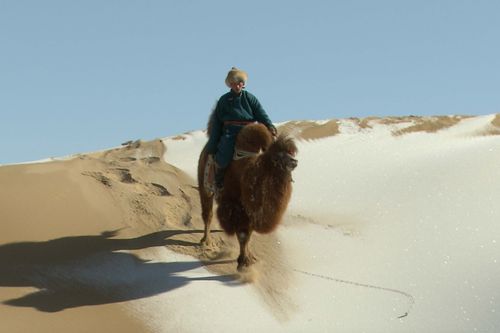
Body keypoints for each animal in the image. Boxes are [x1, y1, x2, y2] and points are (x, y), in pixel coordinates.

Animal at [197, 122, 296, 270]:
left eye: (291, 153)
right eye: (277, 157)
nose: (294, 162)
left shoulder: (250, 211)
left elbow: (248, 235)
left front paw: (250, 258)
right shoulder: (237, 208)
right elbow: (243, 235)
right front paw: (244, 262)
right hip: (205, 188)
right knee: (207, 214)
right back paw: (205, 241)